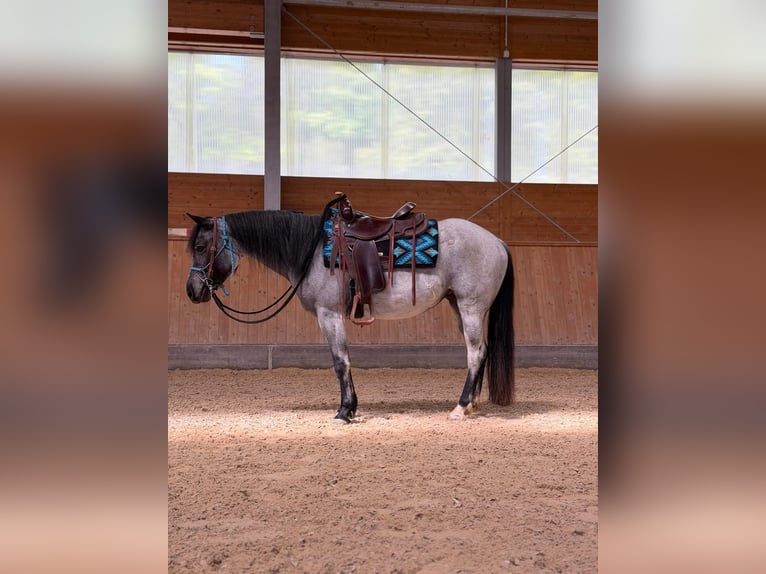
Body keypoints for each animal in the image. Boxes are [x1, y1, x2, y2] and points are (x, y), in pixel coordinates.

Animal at [185, 198, 515, 423]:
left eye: (201, 247)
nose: (192, 291)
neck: (313, 251)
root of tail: (497, 241)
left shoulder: (329, 314)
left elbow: (340, 361)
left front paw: (345, 410)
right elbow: (344, 360)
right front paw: (351, 407)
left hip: (470, 307)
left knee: (475, 352)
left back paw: (460, 407)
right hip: (459, 306)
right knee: (480, 350)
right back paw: (472, 404)